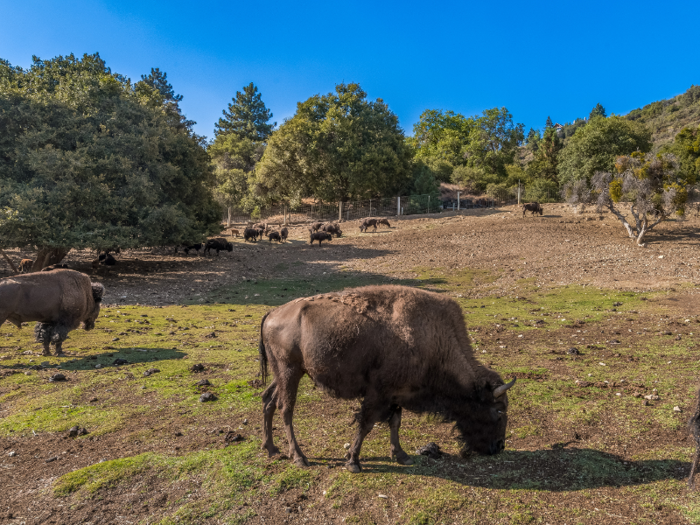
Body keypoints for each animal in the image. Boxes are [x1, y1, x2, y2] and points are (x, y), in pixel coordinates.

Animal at [258, 284, 516, 472]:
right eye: (498, 411)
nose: (499, 446)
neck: (434, 340)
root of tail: (271, 313)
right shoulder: (378, 393)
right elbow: (366, 424)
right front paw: (353, 462)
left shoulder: (397, 393)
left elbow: (395, 422)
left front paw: (401, 455)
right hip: (289, 371)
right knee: (286, 409)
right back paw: (299, 458)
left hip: (284, 374)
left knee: (268, 400)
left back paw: (271, 449)